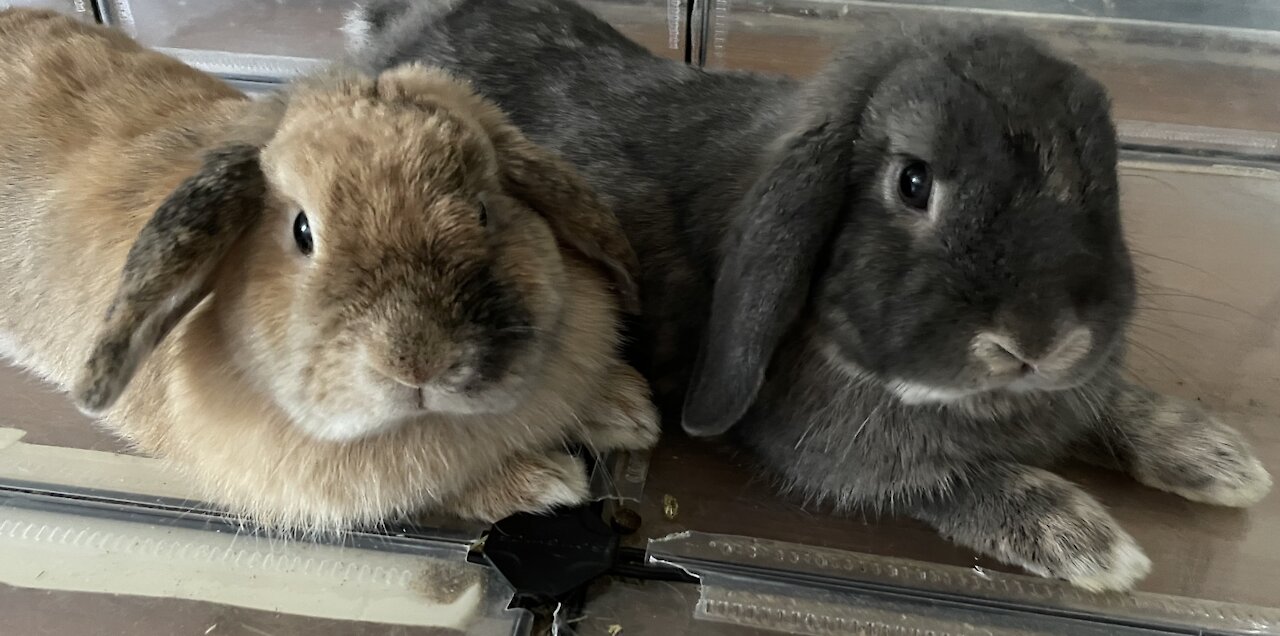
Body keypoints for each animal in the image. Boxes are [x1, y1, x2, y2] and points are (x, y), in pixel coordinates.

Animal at [348, 0, 1269, 591]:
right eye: (912, 182)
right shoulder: (842, 460)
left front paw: (1220, 460)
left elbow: (1116, 405)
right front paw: (1092, 543)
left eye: (1105, 179)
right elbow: (958, 480)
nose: (1040, 342)